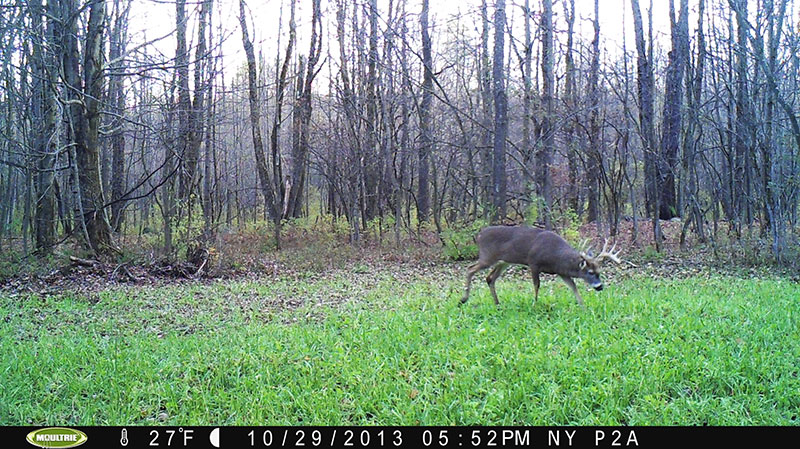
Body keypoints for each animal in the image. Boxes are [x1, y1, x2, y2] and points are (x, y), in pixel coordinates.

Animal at [460, 226, 620, 306]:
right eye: (590, 272)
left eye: (600, 271)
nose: (600, 287)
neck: (556, 256)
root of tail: (479, 235)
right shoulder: (534, 263)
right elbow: (537, 285)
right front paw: (535, 303)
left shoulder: (561, 272)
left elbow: (573, 286)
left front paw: (582, 305)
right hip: (487, 257)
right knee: (470, 269)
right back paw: (463, 299)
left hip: (504, 261)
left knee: (490, 278)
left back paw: (497, 303)